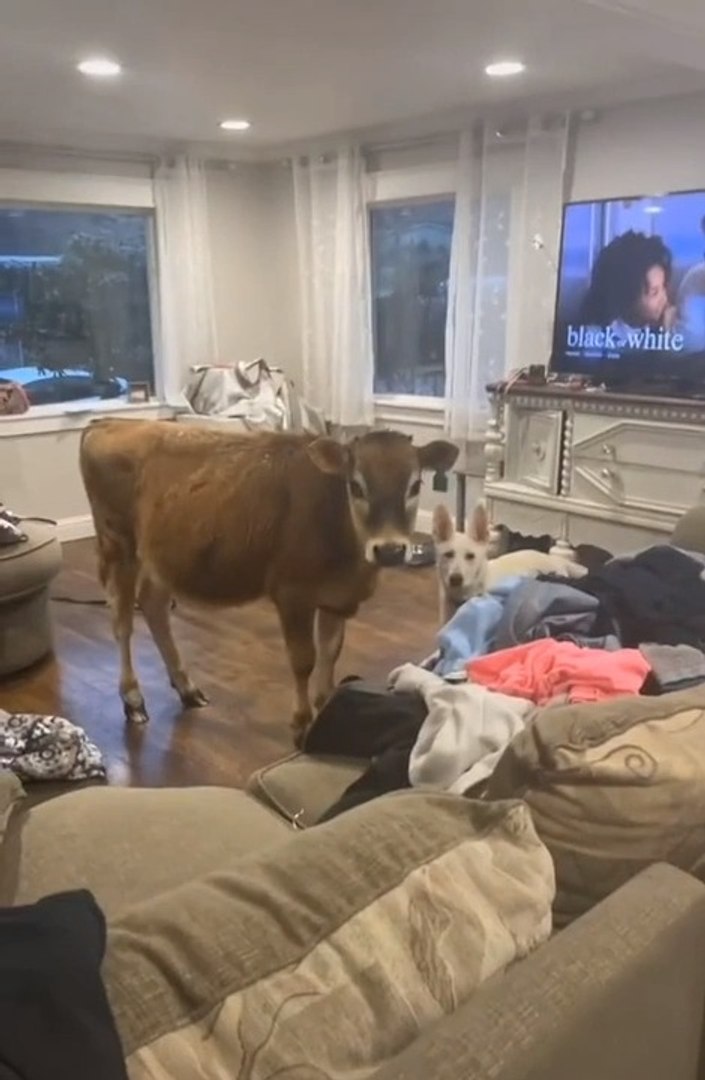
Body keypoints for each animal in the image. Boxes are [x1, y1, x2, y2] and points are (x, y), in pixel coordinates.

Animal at [79, 420, 458, 739]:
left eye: (415, 485)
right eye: (356, 486)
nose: (390, 550)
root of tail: (108, 422)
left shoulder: (338, 599)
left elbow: (330, 655)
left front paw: (324, 708)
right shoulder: (292, 595)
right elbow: (303, 660)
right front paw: (301, 722)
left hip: (161, 557)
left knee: (154, 606)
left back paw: (187, 689)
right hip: (117, 545)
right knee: (122, 622)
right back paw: (133, 699)